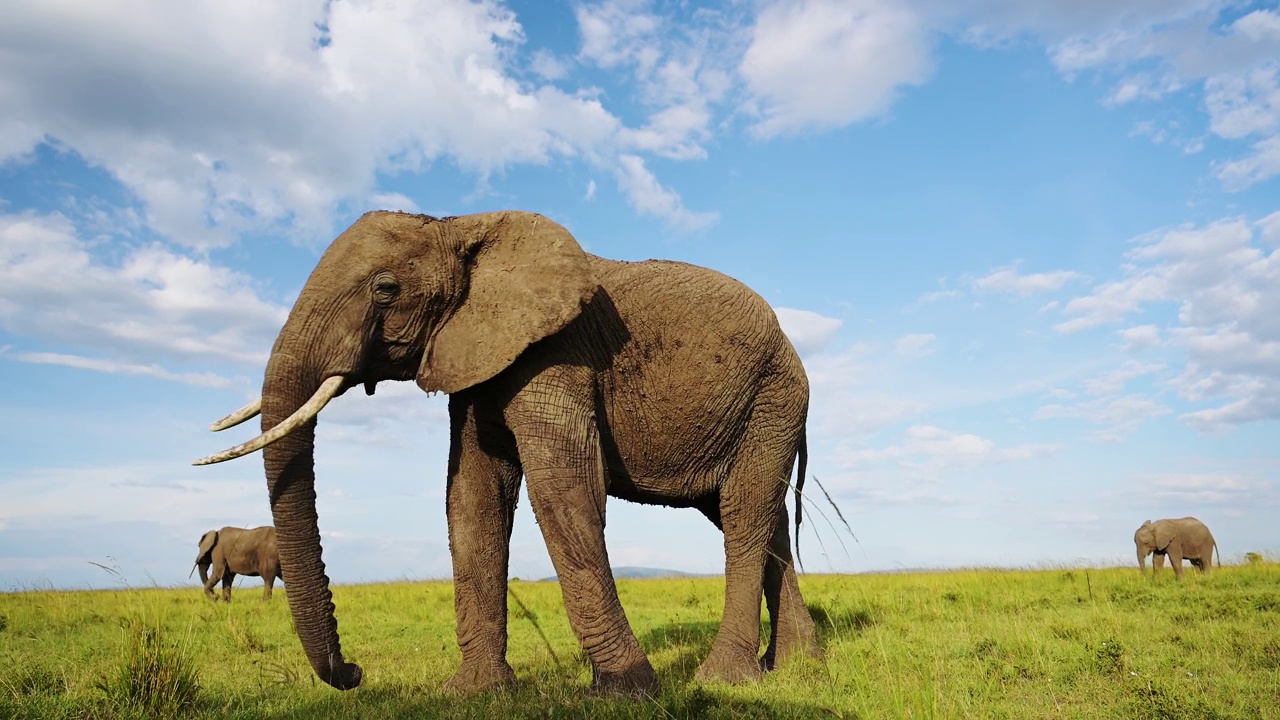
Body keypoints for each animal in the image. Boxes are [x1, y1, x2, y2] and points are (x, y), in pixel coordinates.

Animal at [195, 210, 824, 691]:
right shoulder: (475, 361)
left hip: (774, 398)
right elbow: (472, 499)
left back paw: (726, 680)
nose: (353, 672)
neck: (461, 226)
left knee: (743, 512)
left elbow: (565, 489)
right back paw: (796, 666)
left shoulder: (556, 353)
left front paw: (628, 691)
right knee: (758, 520)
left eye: (385, 289)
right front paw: (476, 692)